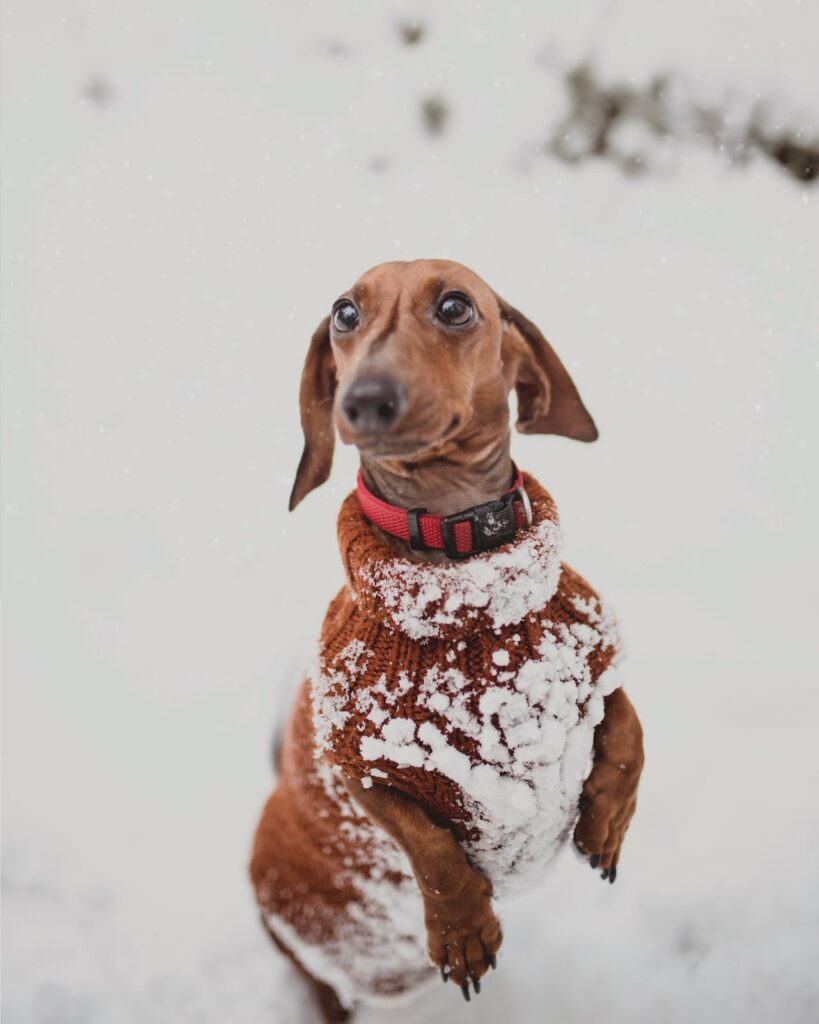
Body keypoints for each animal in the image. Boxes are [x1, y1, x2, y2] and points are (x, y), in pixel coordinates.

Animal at [249, 260, 647, 1019]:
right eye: (345, 313)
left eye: (456, 306)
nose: (363, 401)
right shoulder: (358, 767)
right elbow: (429, 846)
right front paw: (462, 929)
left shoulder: (595, 663)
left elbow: (628, 737)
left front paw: (605, 828)